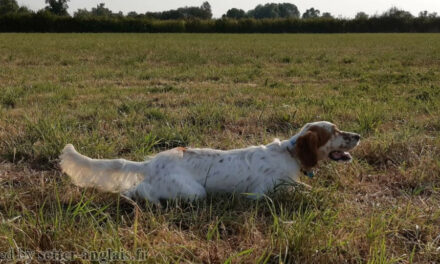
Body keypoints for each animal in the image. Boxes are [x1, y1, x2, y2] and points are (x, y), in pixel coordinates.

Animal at [60, 121, 360, 202]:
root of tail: (152, 163)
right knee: (139, 190)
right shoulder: (264, 193)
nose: (358, 135)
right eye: (334, 132)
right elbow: (307, 191)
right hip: (194, 192)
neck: (290, 153)